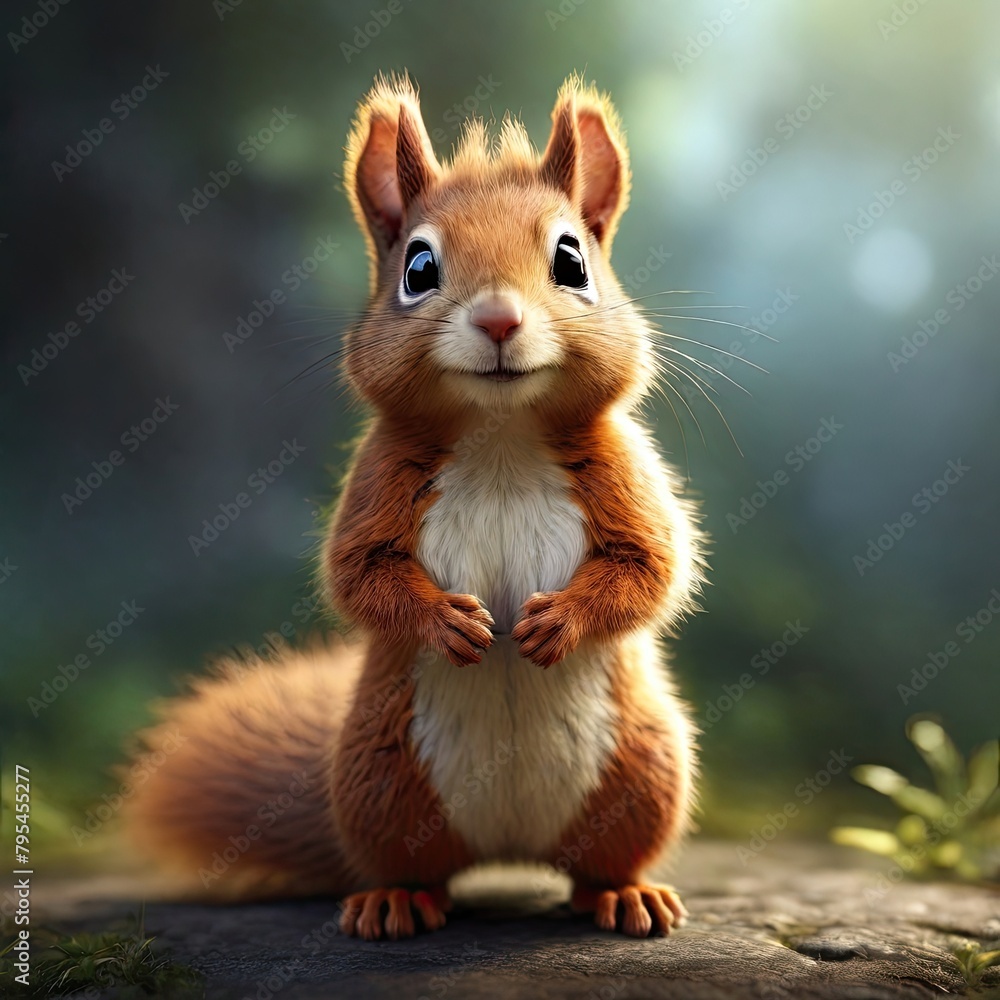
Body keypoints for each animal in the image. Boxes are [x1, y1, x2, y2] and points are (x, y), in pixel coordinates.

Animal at [124, 73, 706, 941]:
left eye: (572, 260)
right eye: (418, 266)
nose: (498, 318)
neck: (501, 439)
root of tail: (505, 850)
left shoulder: (622, 474)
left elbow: (651, 565)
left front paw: (558, 622)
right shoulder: (380, 482)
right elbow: (360, 575)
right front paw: (445, 623)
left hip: (642, 770)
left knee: (601, 860)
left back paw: (623, 894)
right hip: (381, 777)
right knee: (412, 865)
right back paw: (397, 899)